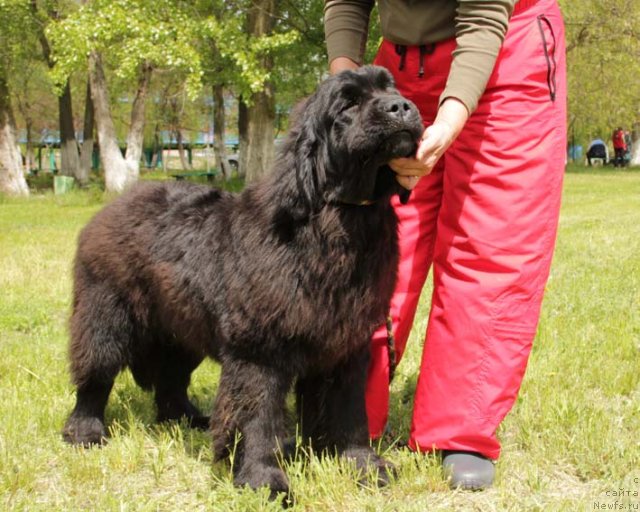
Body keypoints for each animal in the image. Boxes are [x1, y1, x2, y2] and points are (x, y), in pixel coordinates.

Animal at [62, 66, 424, 494]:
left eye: (390, 88)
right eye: (348, 103)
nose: (401, 106)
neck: (342, 219)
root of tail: (114, 204)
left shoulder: (346, 345)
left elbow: (348, 410)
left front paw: (361, 465)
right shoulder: (259, 348)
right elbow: (256, 415)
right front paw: (262, 479)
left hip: (181, 328)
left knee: (171, 378)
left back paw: (189, 418)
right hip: (106, 315)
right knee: (95, 375)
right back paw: (85, 432)